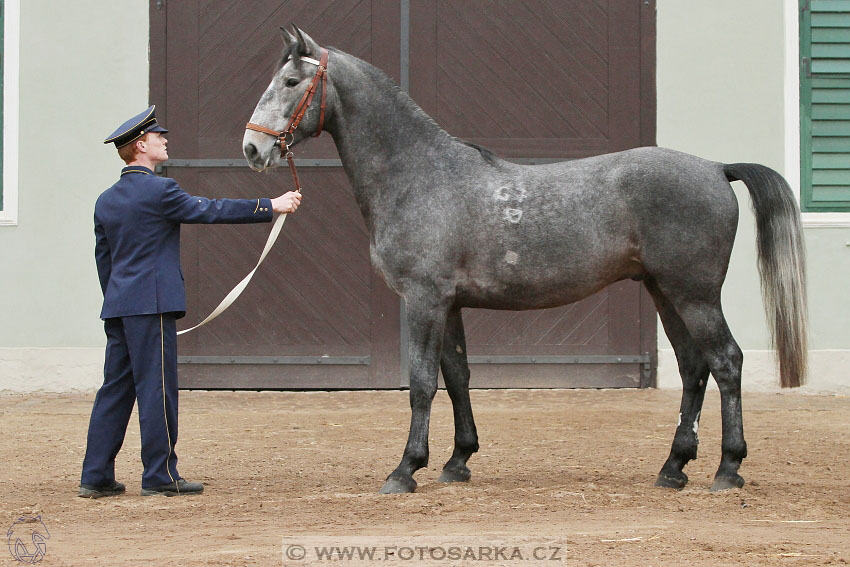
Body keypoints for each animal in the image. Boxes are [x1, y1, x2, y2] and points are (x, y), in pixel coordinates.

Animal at [242, 28, 804, 494]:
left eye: (291, 81)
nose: (251, 148)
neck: (420, 174)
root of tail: (716, 168)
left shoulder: (424, 300)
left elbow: (422, 382)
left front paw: (405, 470)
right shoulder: (450, 304)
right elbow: (457, 375)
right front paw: (457, 461)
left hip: (694, 294)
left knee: (726, 362)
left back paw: (727, 469)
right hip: (665, 291)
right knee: (693, 367)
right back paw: (673, 468)